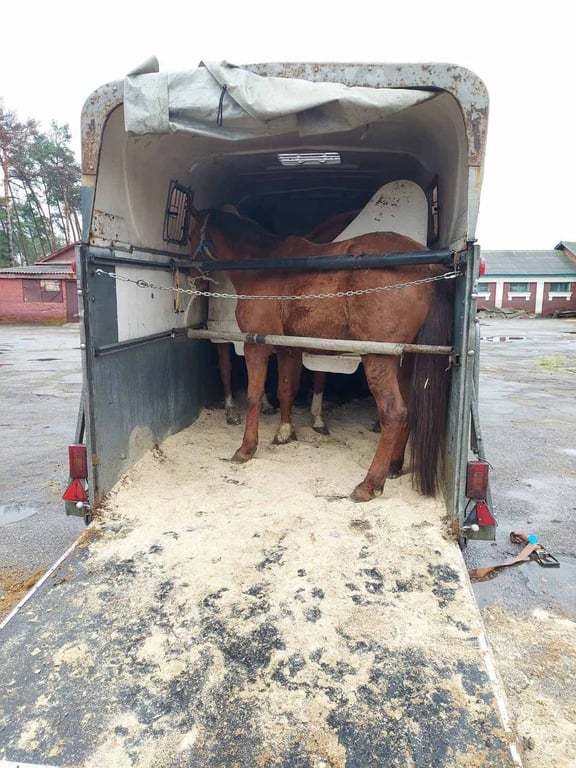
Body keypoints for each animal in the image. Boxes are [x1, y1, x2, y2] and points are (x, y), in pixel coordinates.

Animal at [191, 207, 452, 500]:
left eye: (189, 233)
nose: (188, 271)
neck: (262, 267)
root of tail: (426, 265)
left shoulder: (256, 345)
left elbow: (254, 395)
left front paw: (246, 448)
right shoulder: (288, 348)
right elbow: (286, 390)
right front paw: (285, 433)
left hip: (379, 357)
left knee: (394, 412)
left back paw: (369, 484)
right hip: (404, 360)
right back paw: (393, 466)